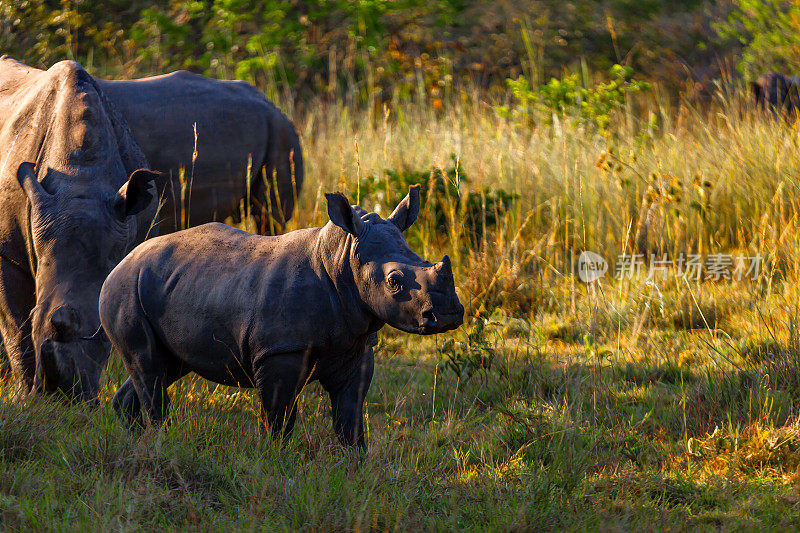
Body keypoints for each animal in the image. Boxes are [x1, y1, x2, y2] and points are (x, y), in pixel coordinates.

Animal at [0, 58, 161, 400]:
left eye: (101, 334)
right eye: (35, 320)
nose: (62, 398)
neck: (81, 176)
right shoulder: (5, 252)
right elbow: (14, 326)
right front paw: (23, 398)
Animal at [99, 185, 462, 446]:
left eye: (423, 260)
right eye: (394, 282)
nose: (448, 315)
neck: (342, 259)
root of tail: (122, 260)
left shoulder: (355, 345)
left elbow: (350, 416)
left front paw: (354, 467)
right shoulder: (280, 350)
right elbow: (279, 418)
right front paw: (275, 460)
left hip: (172, 286)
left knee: (165, 365)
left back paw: (135, 439)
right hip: (125, 289)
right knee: (148, 365)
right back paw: (160, 439)